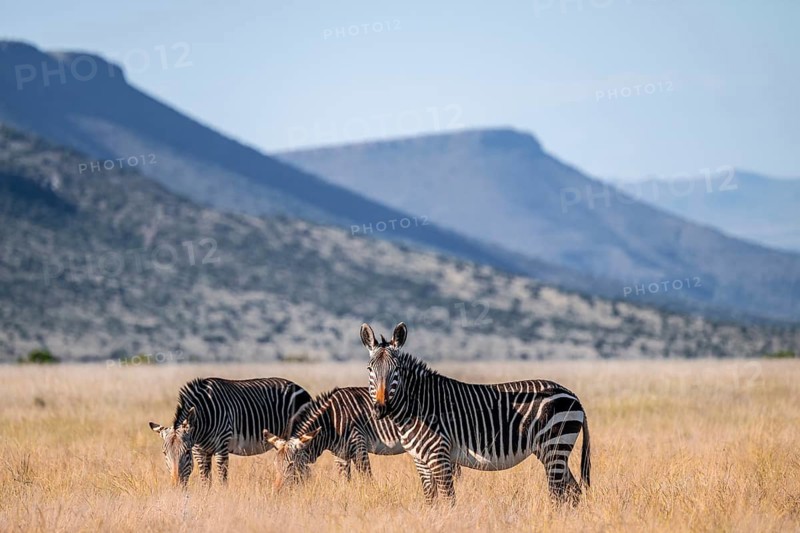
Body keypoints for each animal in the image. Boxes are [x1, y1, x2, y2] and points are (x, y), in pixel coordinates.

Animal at [148, 377, 311, 486]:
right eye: (164, 453)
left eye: (186, 452)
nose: (176, 485)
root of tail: (301, 388)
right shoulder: (200, 451)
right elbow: (205, 481)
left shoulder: (222, 447)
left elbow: (222, 480)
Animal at [262, 387, 407, 490]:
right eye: (275, 465)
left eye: (291, 464)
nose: (276, 491)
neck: (330, 422)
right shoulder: (340, 454)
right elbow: (344, 482)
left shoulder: (359, 446)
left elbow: (367, 478)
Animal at [361, 322, 591, 505]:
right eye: (370, 370)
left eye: (397, 370)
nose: (380, 408)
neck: (417, 407)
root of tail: (573, 394)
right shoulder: (421, 461)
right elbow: (431, 501)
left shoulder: (439, 456)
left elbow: (448, 499)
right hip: (551, 451)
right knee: (573, 493)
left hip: (555, 446)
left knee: (558, 495)